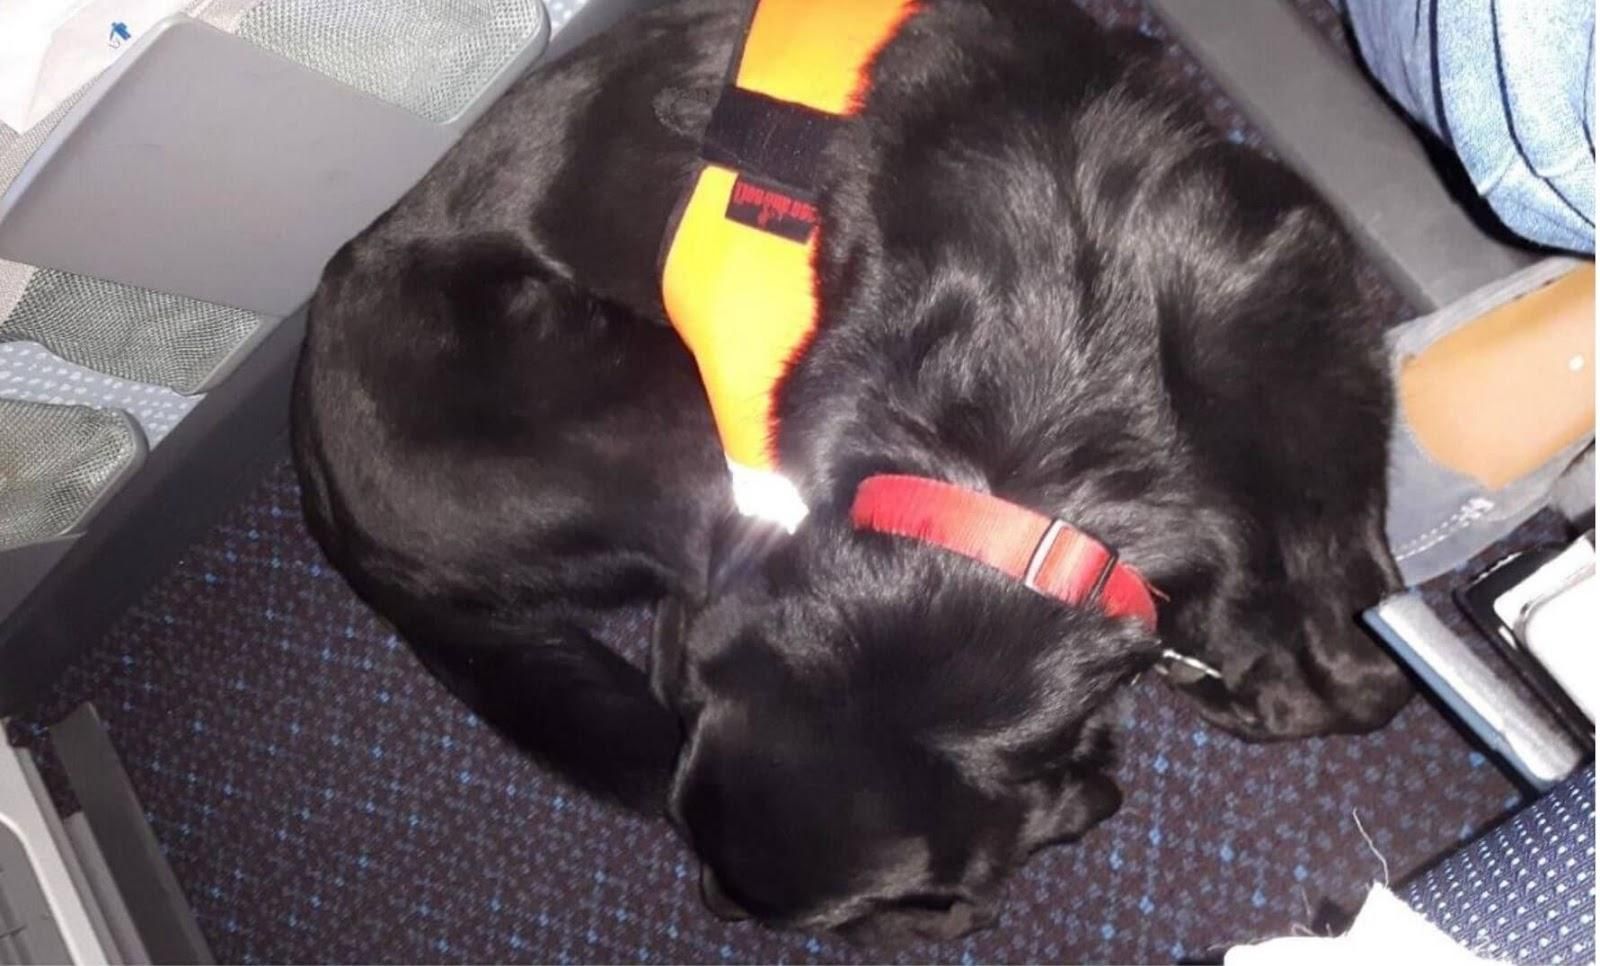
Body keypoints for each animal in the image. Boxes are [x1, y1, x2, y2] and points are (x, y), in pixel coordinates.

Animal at [291, 0, 1414, 940]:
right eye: (693, 829)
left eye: (840, 915)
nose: (717, 905)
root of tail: (316, 478)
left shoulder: (1286, 285)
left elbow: (1332, 531)